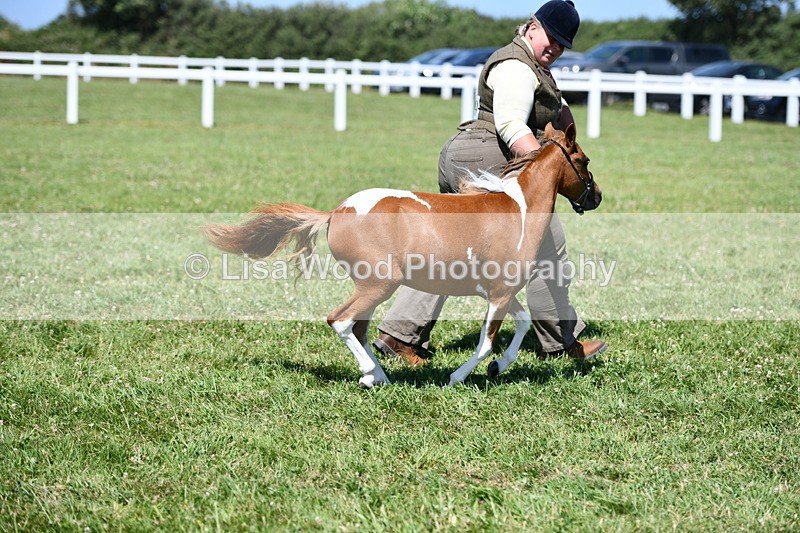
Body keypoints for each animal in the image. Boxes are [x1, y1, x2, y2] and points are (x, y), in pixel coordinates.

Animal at [203, 123, 601, 388]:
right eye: (583, 159)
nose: (596, 196)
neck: (518, 209)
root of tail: (337, 212)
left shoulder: (499, 292)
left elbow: (519, 325)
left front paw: (498, 368)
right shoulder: (500, 293)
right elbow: (487, 342)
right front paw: (459, 376)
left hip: (373, 287)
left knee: (358, 328)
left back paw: (378, 376)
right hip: (379, 284)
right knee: (341, 321)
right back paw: (370, 375)